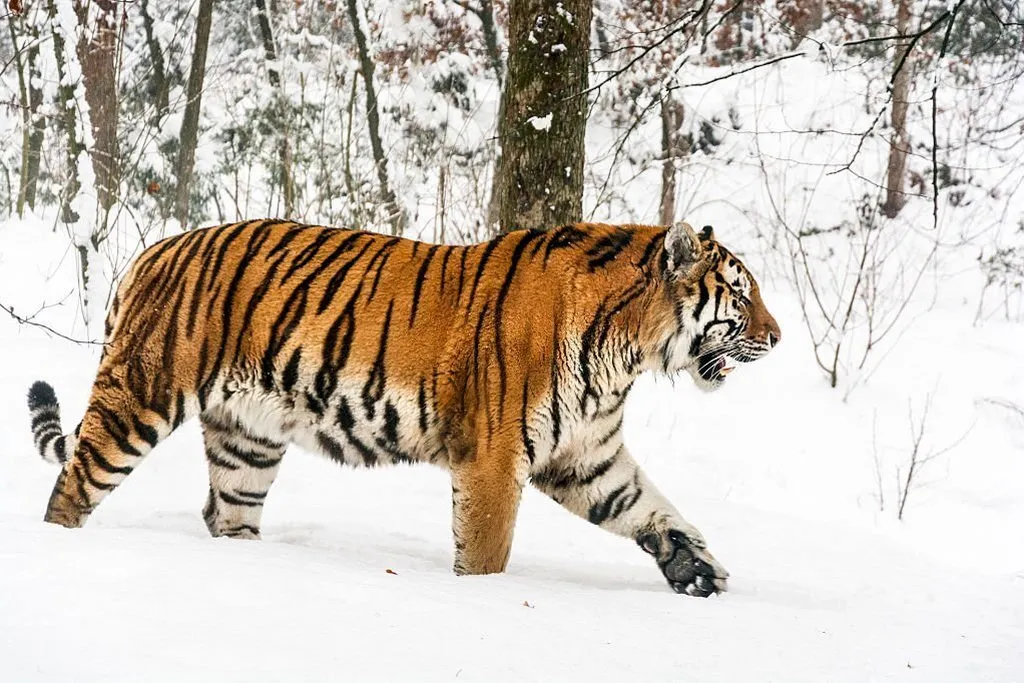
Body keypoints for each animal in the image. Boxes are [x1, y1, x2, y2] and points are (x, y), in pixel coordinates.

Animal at [29, 220, 782, 598]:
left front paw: (696, 570)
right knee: (72, 485)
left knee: (226, 514)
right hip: (140, 396)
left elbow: (651, 507)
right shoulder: (494, 460)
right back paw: (58, 549)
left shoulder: (583, 456)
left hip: (248, 439)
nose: (778, 339)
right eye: (741, 293)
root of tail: (152, 251)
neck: (627, 351)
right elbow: (487, 554)